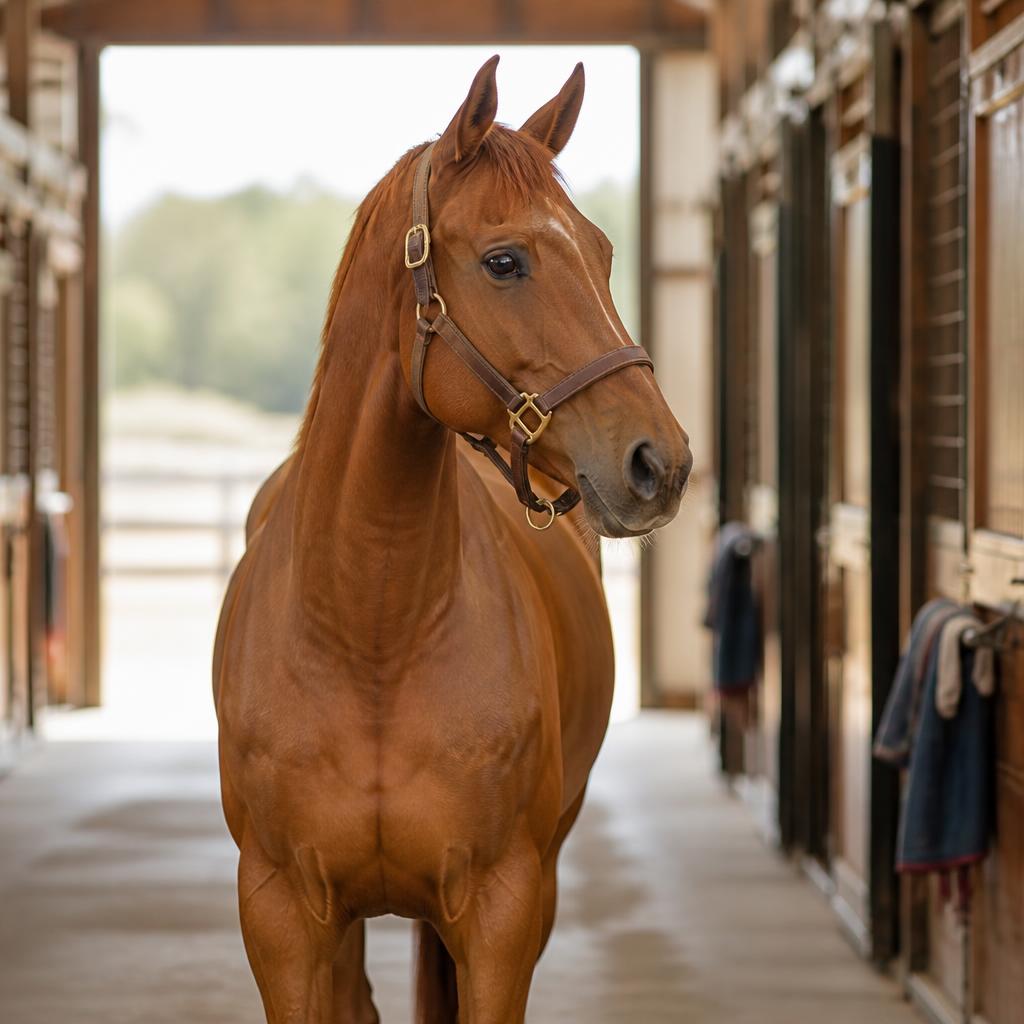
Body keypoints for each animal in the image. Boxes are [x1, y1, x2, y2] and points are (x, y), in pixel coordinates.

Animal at [213, 55, 691, 1023]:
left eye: (604, 252)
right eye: (504, 261)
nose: (660, 462)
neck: (371, 632)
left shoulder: (504, 912)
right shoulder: (282, 916)